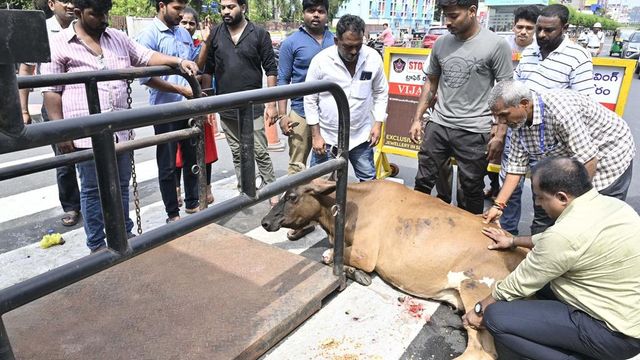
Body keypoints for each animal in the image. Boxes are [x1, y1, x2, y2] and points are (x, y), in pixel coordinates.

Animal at [260, 179, 524, 358]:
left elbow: (329, 255)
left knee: (480, 351)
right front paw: (358, 275)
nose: (264, 221)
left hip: (475, 288)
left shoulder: (365, 254)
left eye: (292, 196)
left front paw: (354, 271)